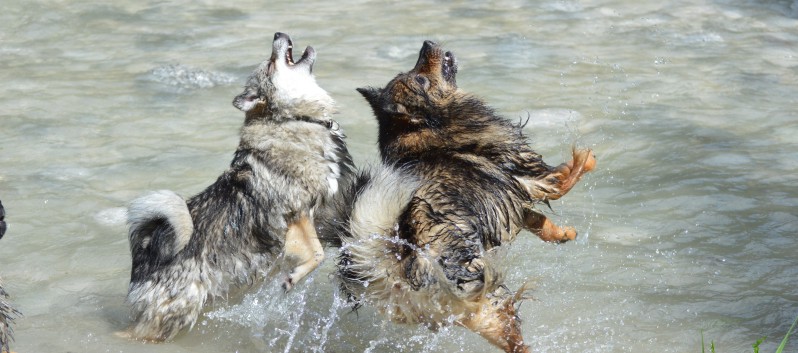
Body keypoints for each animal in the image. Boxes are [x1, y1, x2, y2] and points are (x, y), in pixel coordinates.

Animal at [122, 33, 354, 340]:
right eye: (270, 64)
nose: (278, 34)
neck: (291, 119)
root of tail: (145, 258)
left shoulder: (324, 210)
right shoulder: (298, 216)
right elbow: (316, 254)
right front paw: (292, 278)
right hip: (173, 315)